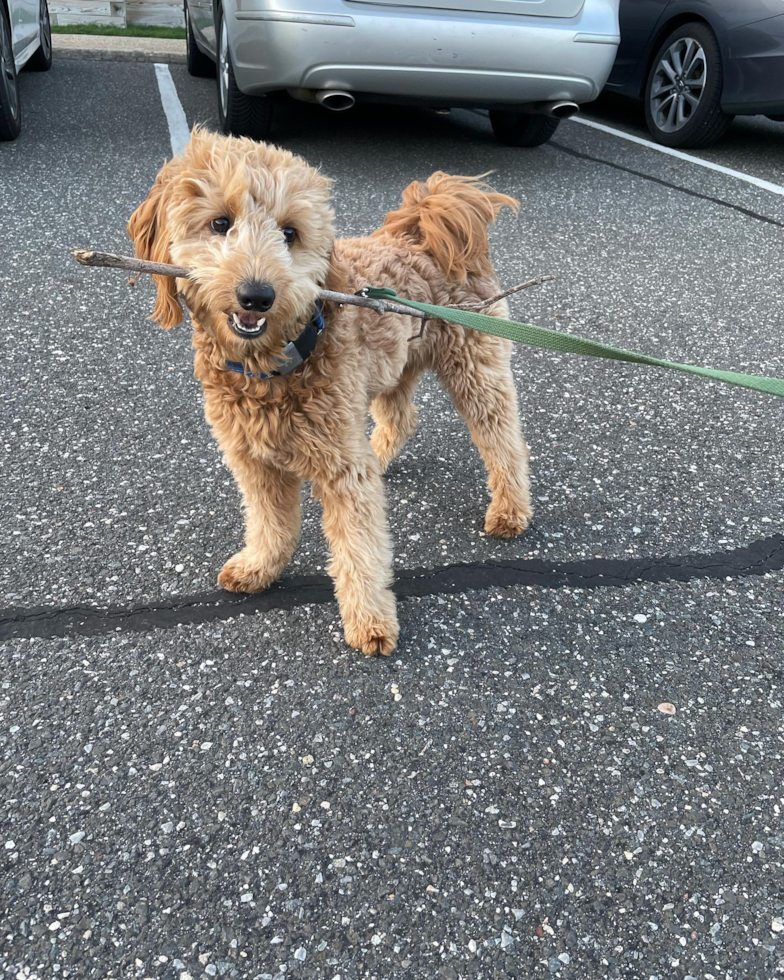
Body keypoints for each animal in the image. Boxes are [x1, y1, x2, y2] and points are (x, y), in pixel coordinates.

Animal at [129, 126, 532, 656]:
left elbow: (360, 548)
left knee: (502, 437)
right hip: (392, 363)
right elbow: (271, 522)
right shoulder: (253, 459)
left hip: (475, 365)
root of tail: (427, 227)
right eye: (220, 223)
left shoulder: (342, 467)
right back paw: (383, 456)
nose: (257, 295)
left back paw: (510, 510)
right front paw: (259, 567)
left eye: (289, 233)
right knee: (402, 418)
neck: (272, 367)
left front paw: (371, 622)